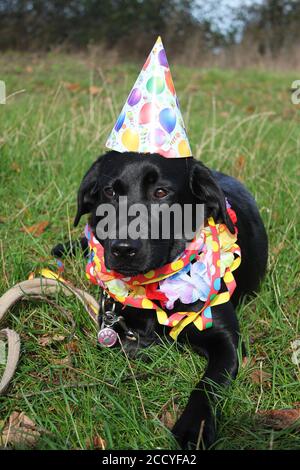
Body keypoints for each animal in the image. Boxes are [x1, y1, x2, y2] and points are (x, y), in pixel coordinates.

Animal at [52, 152, 268, 450]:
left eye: (161, 192)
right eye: (110, 192)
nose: (123, 249)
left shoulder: (226, 341)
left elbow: (207, 386)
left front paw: (193, 428)